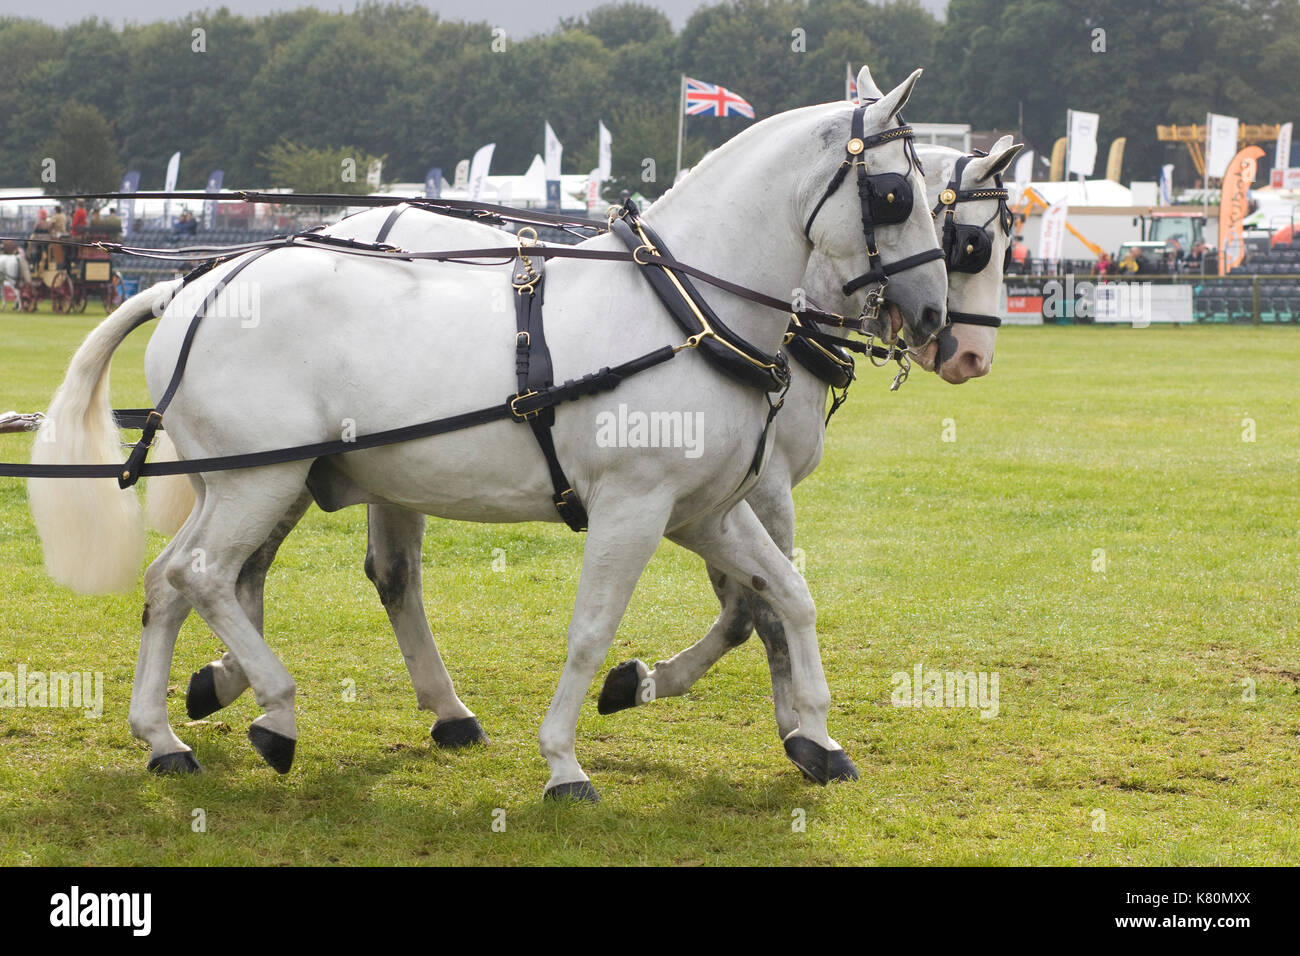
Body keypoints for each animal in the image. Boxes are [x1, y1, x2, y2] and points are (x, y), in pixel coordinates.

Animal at [29, 68, 951, 800]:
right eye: (894, 196)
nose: (938, 318)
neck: (688, 310)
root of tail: (194, 286)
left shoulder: (705, 512)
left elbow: (787, 596)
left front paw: (818, 737)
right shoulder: (634, 506)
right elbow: (592, 631)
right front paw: (565, 763)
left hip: (243, 480)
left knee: (170, 583)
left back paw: (164, 738)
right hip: (262, 478)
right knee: (204, 575)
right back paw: (276, 714)